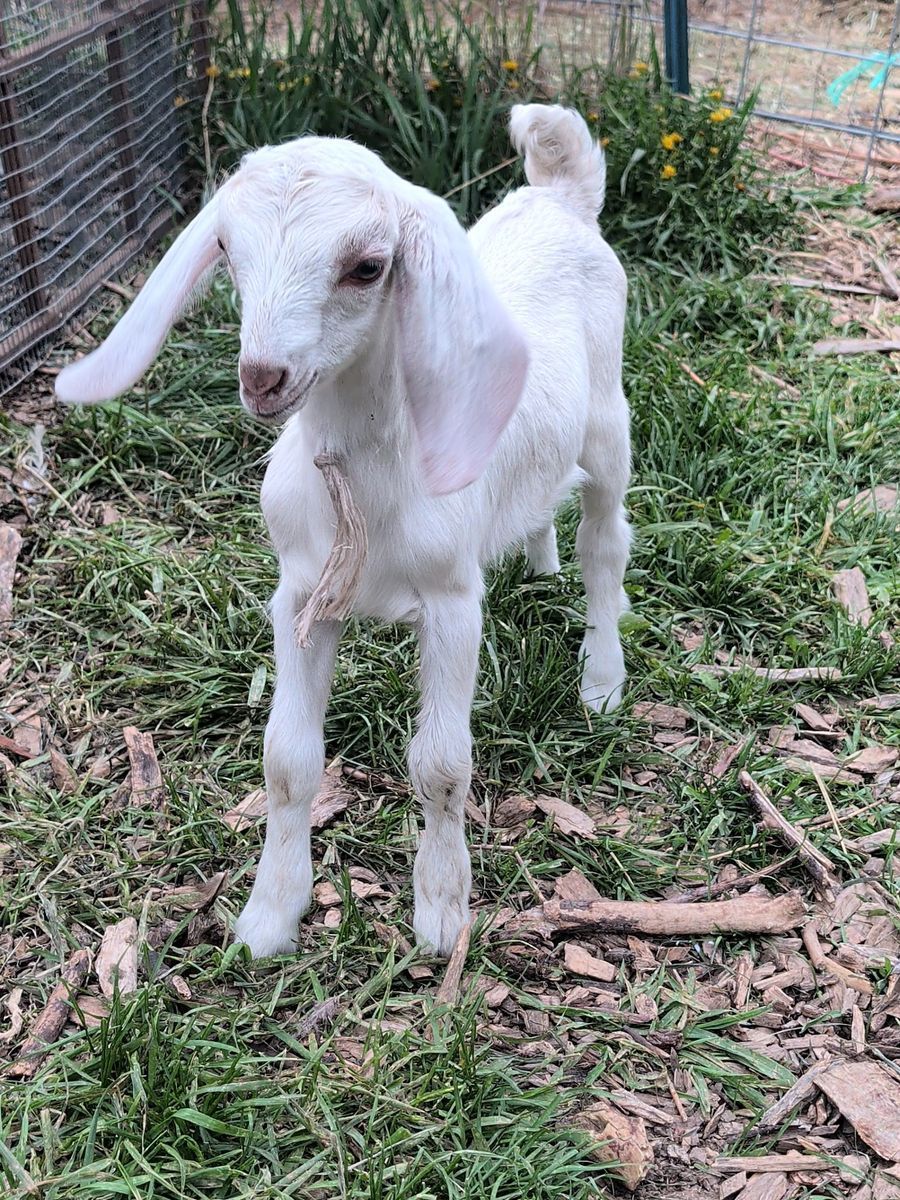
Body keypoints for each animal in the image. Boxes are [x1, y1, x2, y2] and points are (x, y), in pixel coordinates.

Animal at [55, 103, 631, 959]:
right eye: (229, 252)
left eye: (367, 267)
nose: (263, 377)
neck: (364, 474)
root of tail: (560, 196)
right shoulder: (299, 595)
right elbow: (288, 761)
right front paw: (268, 917)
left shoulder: (453, 603)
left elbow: (441, 765)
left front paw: (441, 915)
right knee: (545, 505)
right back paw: (539, 562)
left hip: (609, 422)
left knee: (606, 543)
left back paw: (601, 676)